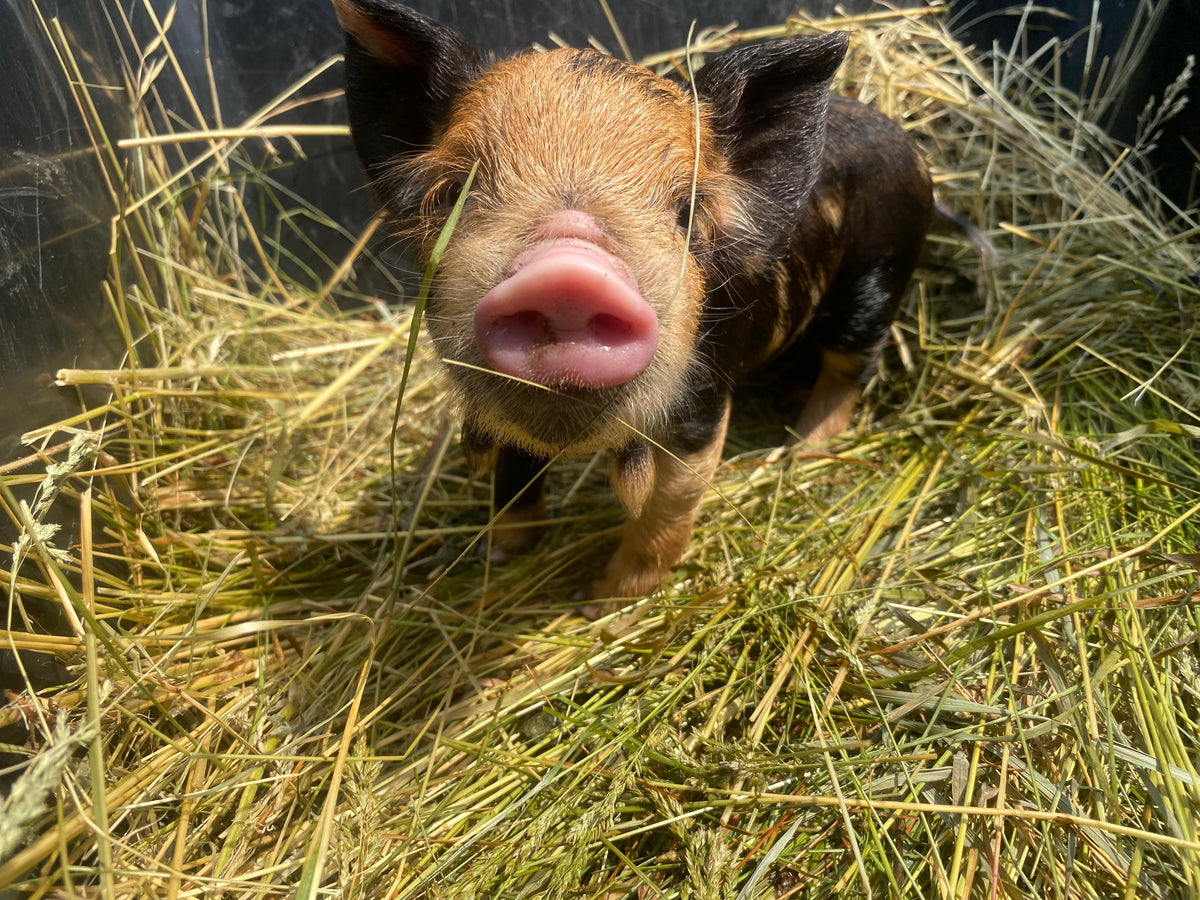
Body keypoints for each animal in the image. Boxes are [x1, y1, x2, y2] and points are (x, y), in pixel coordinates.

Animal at [332, 0, 933, 601]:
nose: (570, 272)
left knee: (851, 370)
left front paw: (601, 602)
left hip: (879, 279)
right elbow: (514, 473)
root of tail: (908, 145)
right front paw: (498, 554)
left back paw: (796, 456)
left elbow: (668, 508)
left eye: (687, 211)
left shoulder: (702, 401)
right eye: (456, 192)